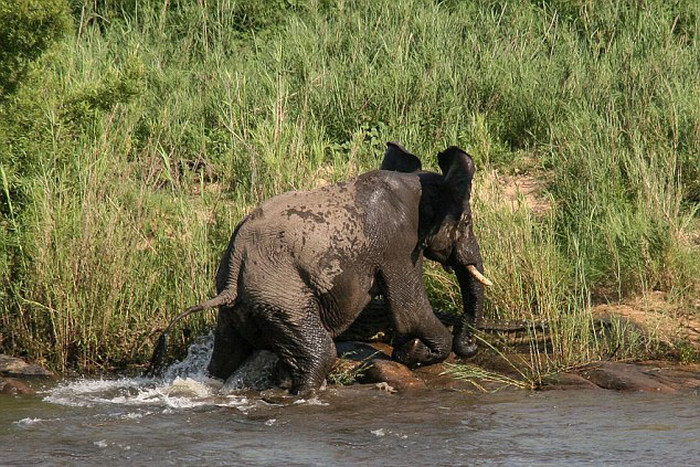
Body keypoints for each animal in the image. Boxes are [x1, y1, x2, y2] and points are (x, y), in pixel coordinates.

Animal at [148, 143, 490, 394]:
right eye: (466, 222)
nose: (472, 346)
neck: (417, 183)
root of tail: (233, 272)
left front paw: (409, 352)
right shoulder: (397, 245)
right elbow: (410, 311)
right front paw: (412, 353)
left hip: (237, 311)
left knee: (225, 358)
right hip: (282, 299)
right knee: (321, 352)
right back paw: (303, 393)